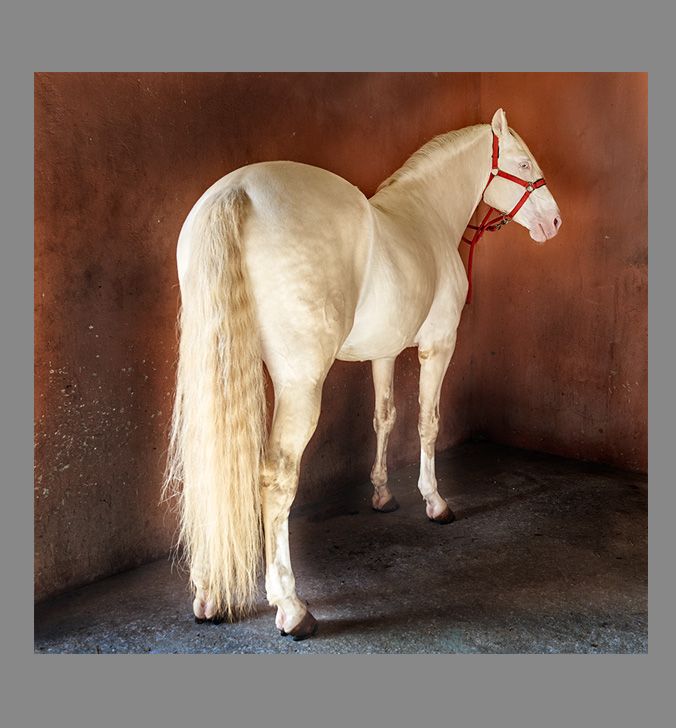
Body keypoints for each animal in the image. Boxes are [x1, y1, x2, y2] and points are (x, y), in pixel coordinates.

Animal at [164, 108, 562, 641]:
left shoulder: (383, 351)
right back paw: (291, 607)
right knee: (277, 478)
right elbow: (428, 423)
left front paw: (382, 495)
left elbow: (384, 417)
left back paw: (207, 595)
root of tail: (238, 192)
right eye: (523, 162)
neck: (427, 217)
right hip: (300, 384)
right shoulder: (439, 346)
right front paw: (435, 502)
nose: (554, 221)